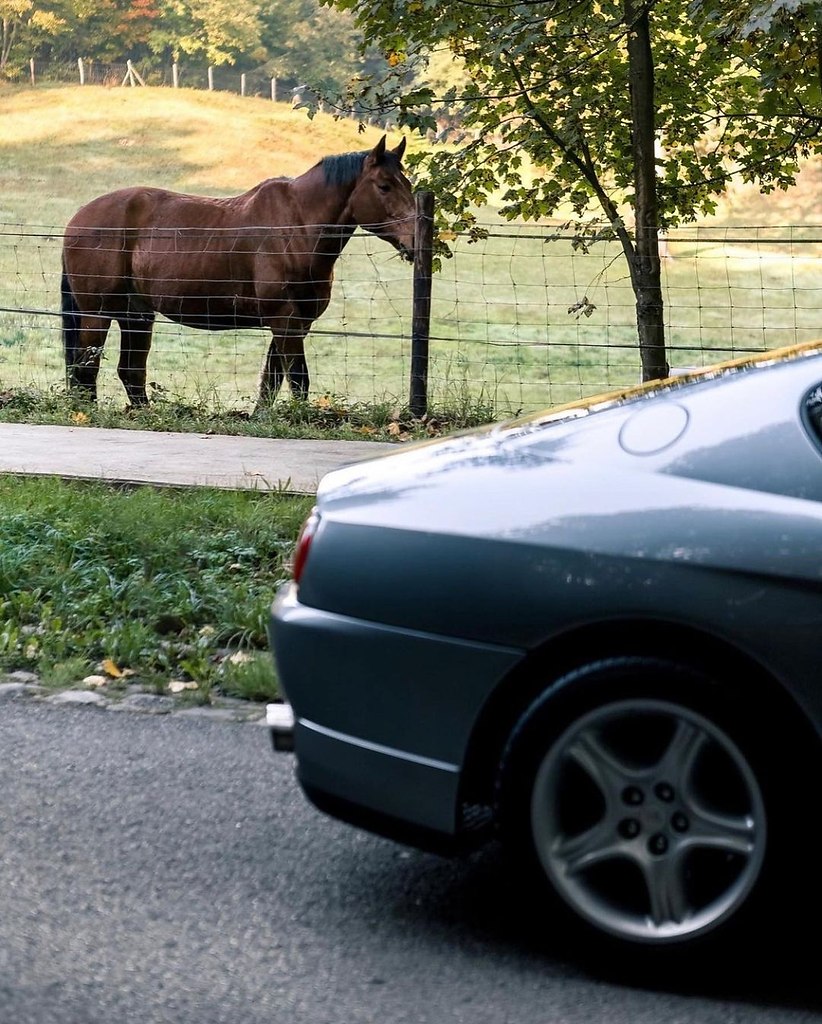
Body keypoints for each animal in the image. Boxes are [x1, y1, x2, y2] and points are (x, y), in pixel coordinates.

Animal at [62, 135, 417, 407]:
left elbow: (272, 382)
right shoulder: (285, 321)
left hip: (136, 314)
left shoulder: (294, 324)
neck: (296, 226)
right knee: (86, 370)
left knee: (130, 371)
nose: (414, 240)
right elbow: (298, 381)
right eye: (384, 186)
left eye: (408, 184)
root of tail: (77, 219)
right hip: (97, 313)